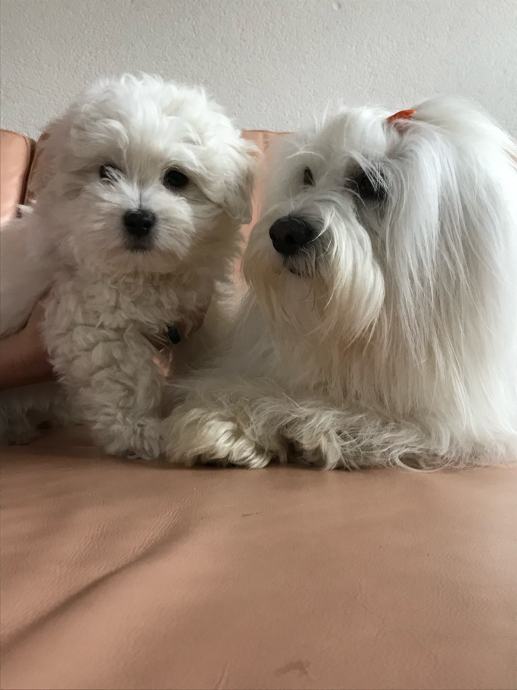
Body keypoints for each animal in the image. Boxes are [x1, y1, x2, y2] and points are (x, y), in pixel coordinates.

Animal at [0, 73, 254, 458]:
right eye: (107, 172)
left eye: (176, 178)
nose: (138, 219)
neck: (145, 272)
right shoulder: (95, 320)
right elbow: (127, 377)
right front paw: (140, 431)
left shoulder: (198, 314)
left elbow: (205, 355)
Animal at [162, 97, 517, 469]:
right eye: (307, 175)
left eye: (371, 184)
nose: (285, 232)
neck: (364, 333)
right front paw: (223, 423)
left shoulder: (445, 422)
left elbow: (347, 411)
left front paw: (289, 423)